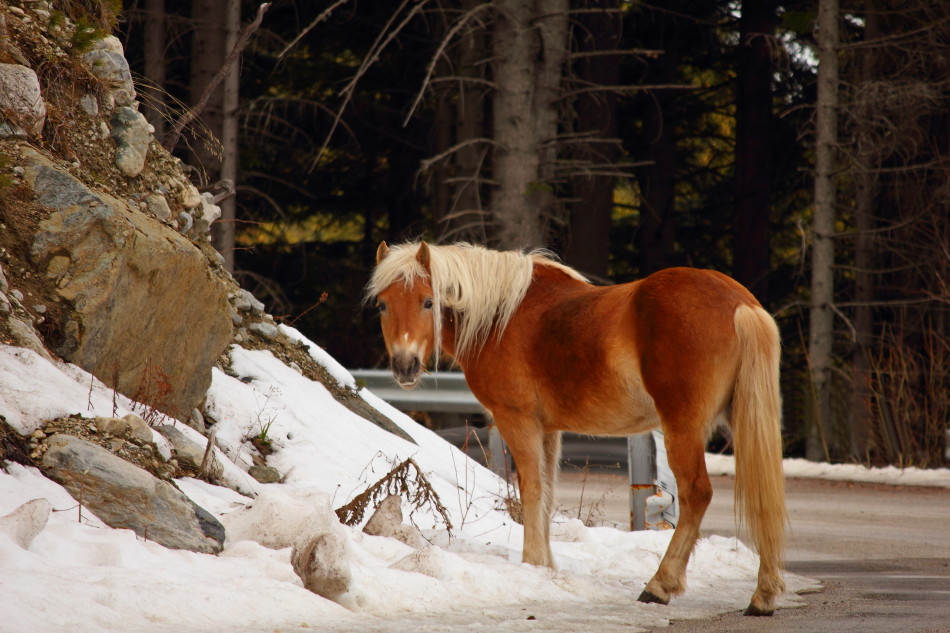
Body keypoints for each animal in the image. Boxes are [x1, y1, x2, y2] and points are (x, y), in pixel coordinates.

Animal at [366, 240, 787, 616]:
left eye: (428, 301)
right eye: (383, 304)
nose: (404, 366)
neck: (501, 318)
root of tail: (741, 304)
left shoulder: (517, 419)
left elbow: (532, 489)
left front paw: (534, 563)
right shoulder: (549, 429)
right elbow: (547, 491)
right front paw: (548, 566)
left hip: (681, 429)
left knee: (697, 494)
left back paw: (660, 585)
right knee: (763, 495)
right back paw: (763, 595)